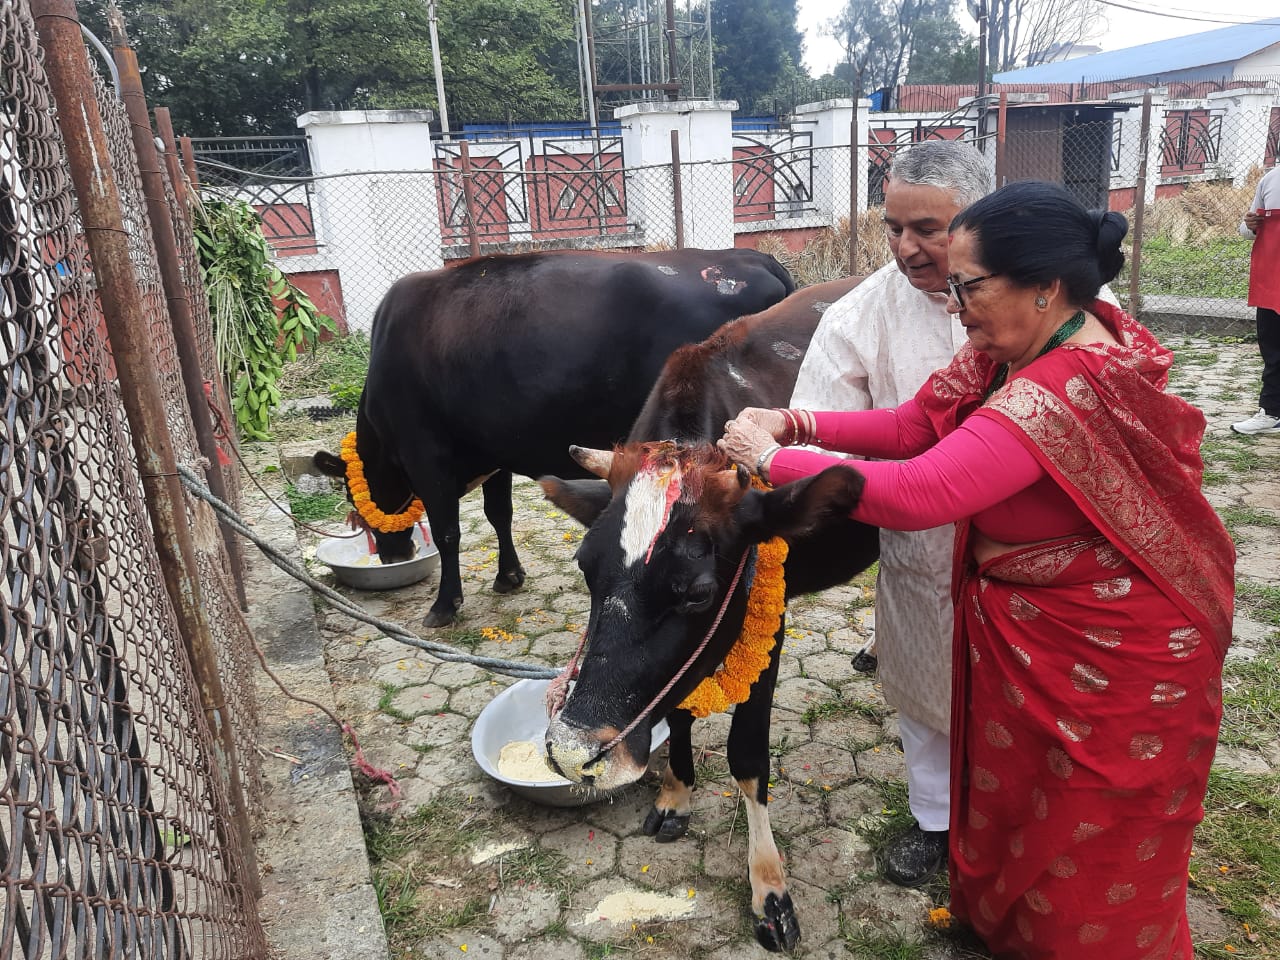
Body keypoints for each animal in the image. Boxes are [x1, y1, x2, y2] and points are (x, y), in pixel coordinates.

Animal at [312, 244, 788, 627]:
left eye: (353, 497)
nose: (393, 555)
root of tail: (752, 257)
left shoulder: (426, 456)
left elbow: (448, 531)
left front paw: (444, 606)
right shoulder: (494, 452)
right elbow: (498, 515)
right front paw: (508, 576)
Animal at [540, 280, 880, 957]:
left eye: (698, 594)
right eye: (586, 567)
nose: (571, 749)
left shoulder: (767, 620)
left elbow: (747, 755)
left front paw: (769, 887)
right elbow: (676, 709)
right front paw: (676, 795)